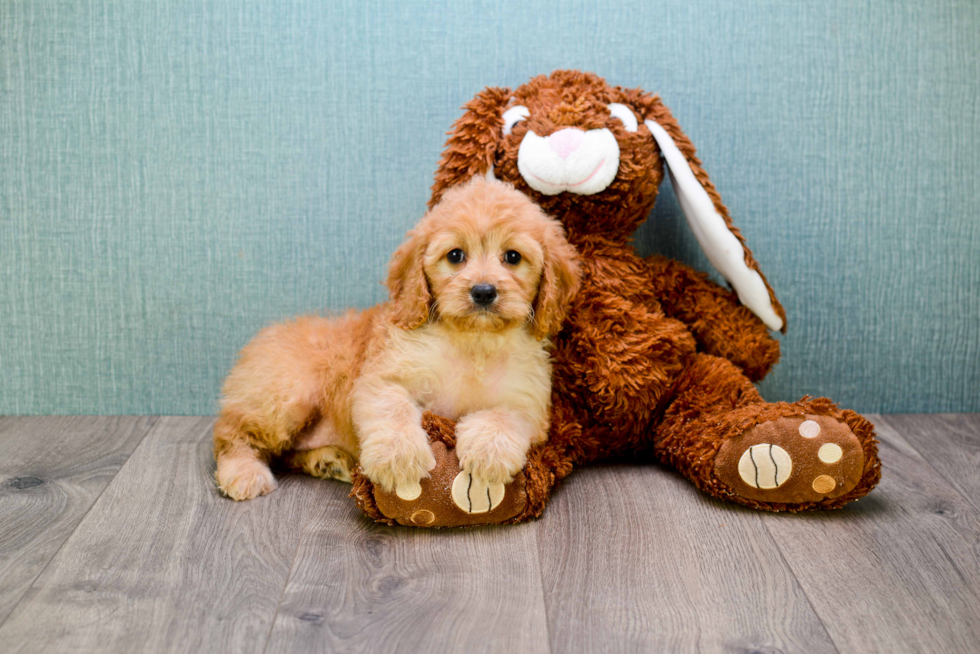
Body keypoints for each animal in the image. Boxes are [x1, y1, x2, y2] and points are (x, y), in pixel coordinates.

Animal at [212, 178, 580, 502]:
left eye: (513, 257)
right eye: (456, 256)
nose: (483, 291)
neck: (472, 340)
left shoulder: (529, 401)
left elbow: (504, 416)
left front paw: (489, 453)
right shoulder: (384, 377)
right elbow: (393, 410)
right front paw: (399, 459)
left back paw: (326, 460)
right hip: (284, 398)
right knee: (229, 434)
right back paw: (243, 471)